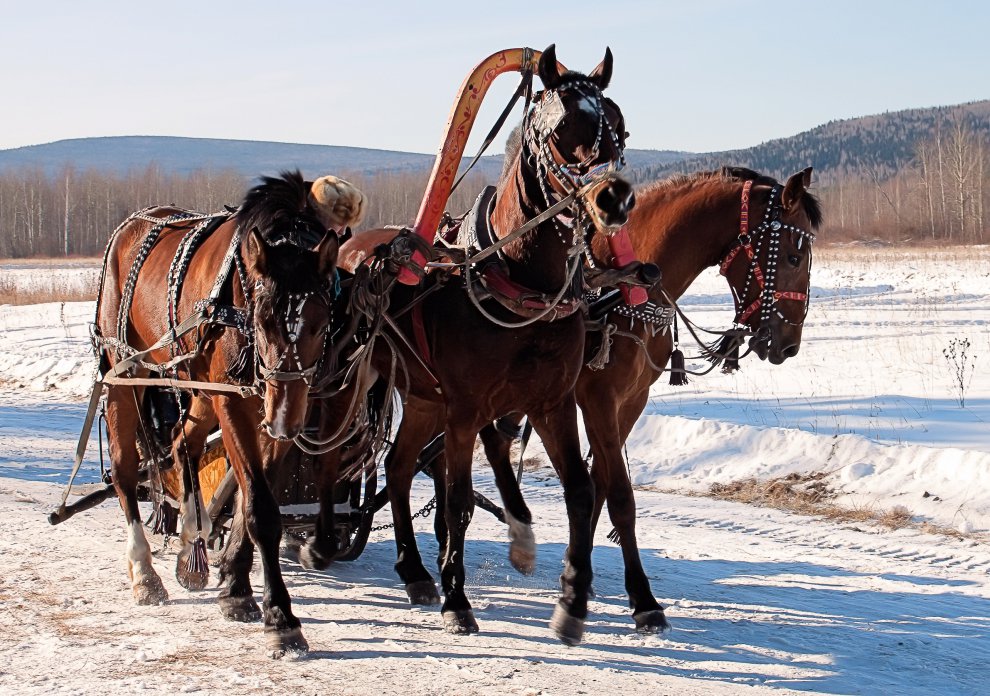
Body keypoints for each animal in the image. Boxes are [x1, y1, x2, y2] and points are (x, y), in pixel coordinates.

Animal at [94, 171, 340, 656]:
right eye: (262, 321)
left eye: (322, 323)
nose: (285, 420)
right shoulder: (234, 402)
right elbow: (260, 507)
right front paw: (280, 617)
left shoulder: (262, 409)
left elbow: (248, 498)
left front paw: (237, 589)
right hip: (126, 372)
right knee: (125, 469)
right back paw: (144, 572)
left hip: (200, 390)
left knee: (180, 445)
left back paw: (192, 544)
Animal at [340, 43, 636, 644]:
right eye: (560, 130)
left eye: (620, 127)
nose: (615, 198)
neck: (518, 281)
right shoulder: (467, 409)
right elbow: (455, 502)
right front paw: (458, 600)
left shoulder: (550, 404)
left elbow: (579, 491)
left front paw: (573, 599)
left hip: (423, 398)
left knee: (398, 468)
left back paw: (414, 570)